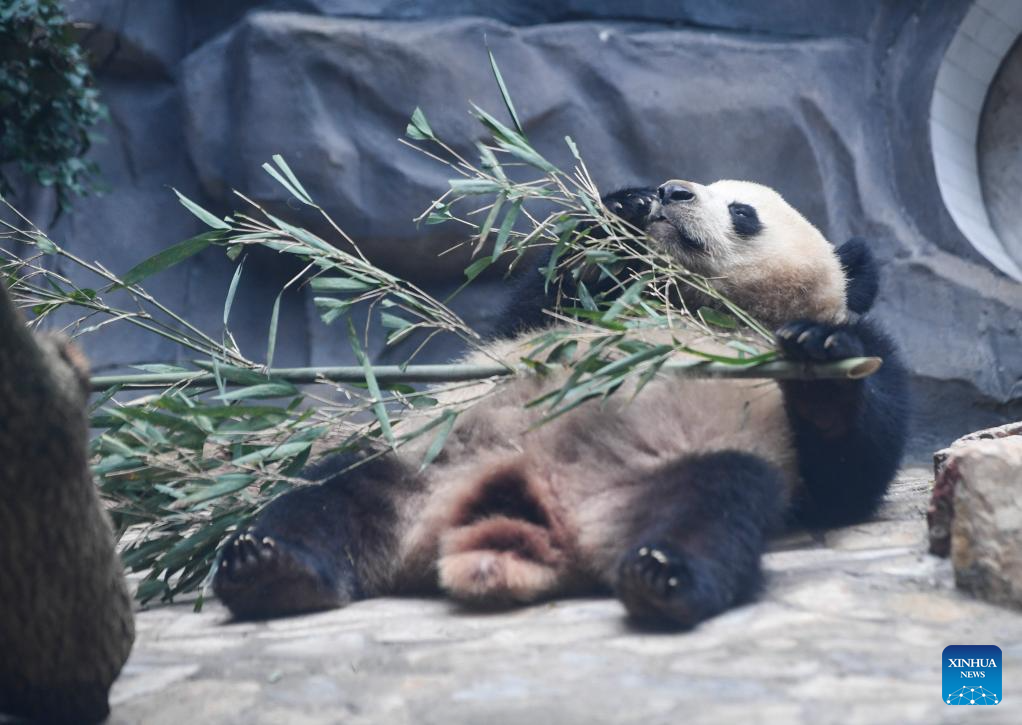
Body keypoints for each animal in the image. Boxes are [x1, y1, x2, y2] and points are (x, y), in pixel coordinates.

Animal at [213, 177, 911, 625]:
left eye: (743, 210)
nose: (673, 192)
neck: (687, 302)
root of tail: (509, 515)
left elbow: (850, 470)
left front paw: (819, 355)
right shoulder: (551, 320)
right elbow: (540, 299)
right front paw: (621, 208)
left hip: (666, 470)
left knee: (720, 501)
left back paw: (664, 577)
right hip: (424, 460)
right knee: (331, 492)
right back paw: (269, 568)